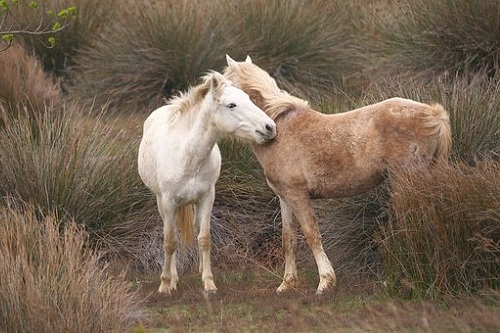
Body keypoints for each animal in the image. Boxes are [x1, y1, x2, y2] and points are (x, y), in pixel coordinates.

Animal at [139, 71, 276, 294]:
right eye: (231, 105)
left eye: (248, 98)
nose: (270, 127)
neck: (188, 155)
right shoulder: (168, 202)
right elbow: (170, 242)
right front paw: (165, 284)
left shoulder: (207, 198)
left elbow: (204, 238)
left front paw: (209, 282)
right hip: (161, 202)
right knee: (172, 235)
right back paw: (173, 278)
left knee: (195, 230)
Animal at [225, 55, 452, 296]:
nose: (268, 129)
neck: (280, 129)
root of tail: (434, 114)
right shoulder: (285, 198)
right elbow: (288, 239)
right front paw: (287, 284)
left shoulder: (298, 195)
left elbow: (311, 234)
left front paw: (325, 282)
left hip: (406, 183)